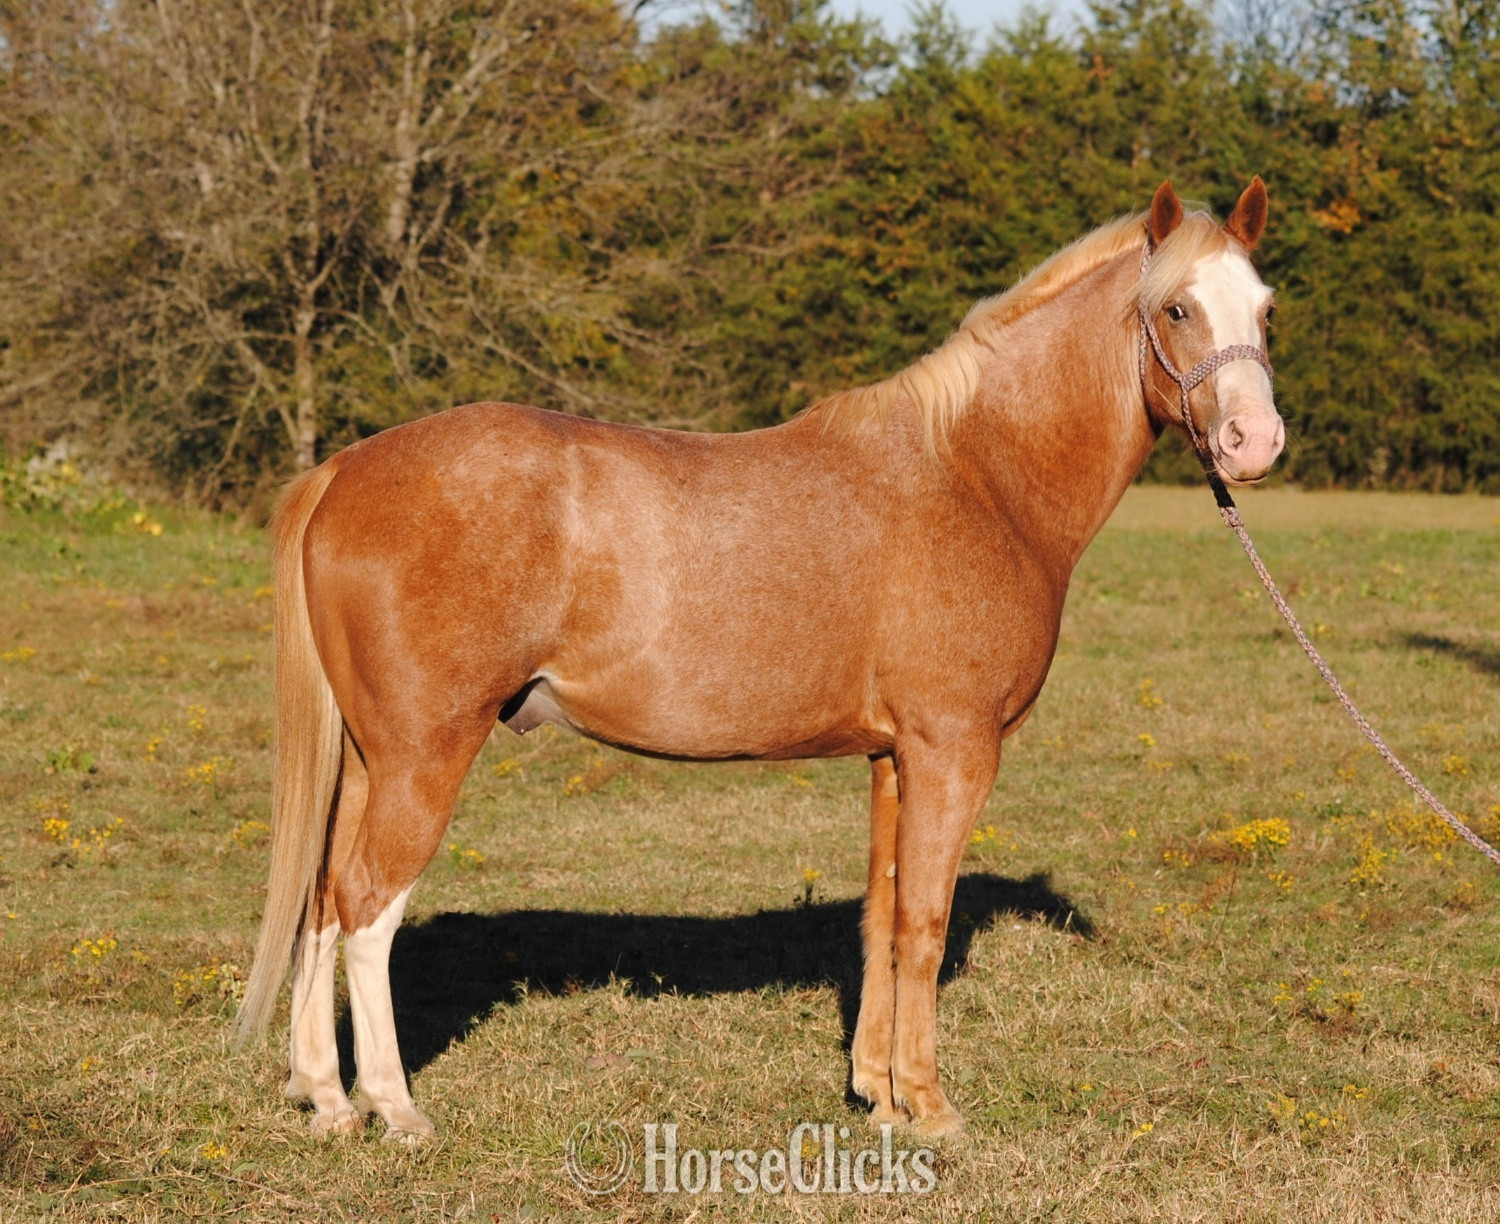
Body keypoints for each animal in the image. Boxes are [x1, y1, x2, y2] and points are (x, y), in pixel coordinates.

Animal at [236, 178, 1283, 1142]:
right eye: (1177, 309)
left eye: (1266, 308)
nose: (1255, 442)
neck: (978, 475)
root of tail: (344, 470)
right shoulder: (952, 751)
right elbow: (923, 924)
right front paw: (932, 1109)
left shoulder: (893, 758)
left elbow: (879, 919)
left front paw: (877, 1095)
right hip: (424, 757)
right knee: (367, 908)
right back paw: (395, 1108)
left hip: (369, 762)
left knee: (322, 901)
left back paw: (326, 1100)